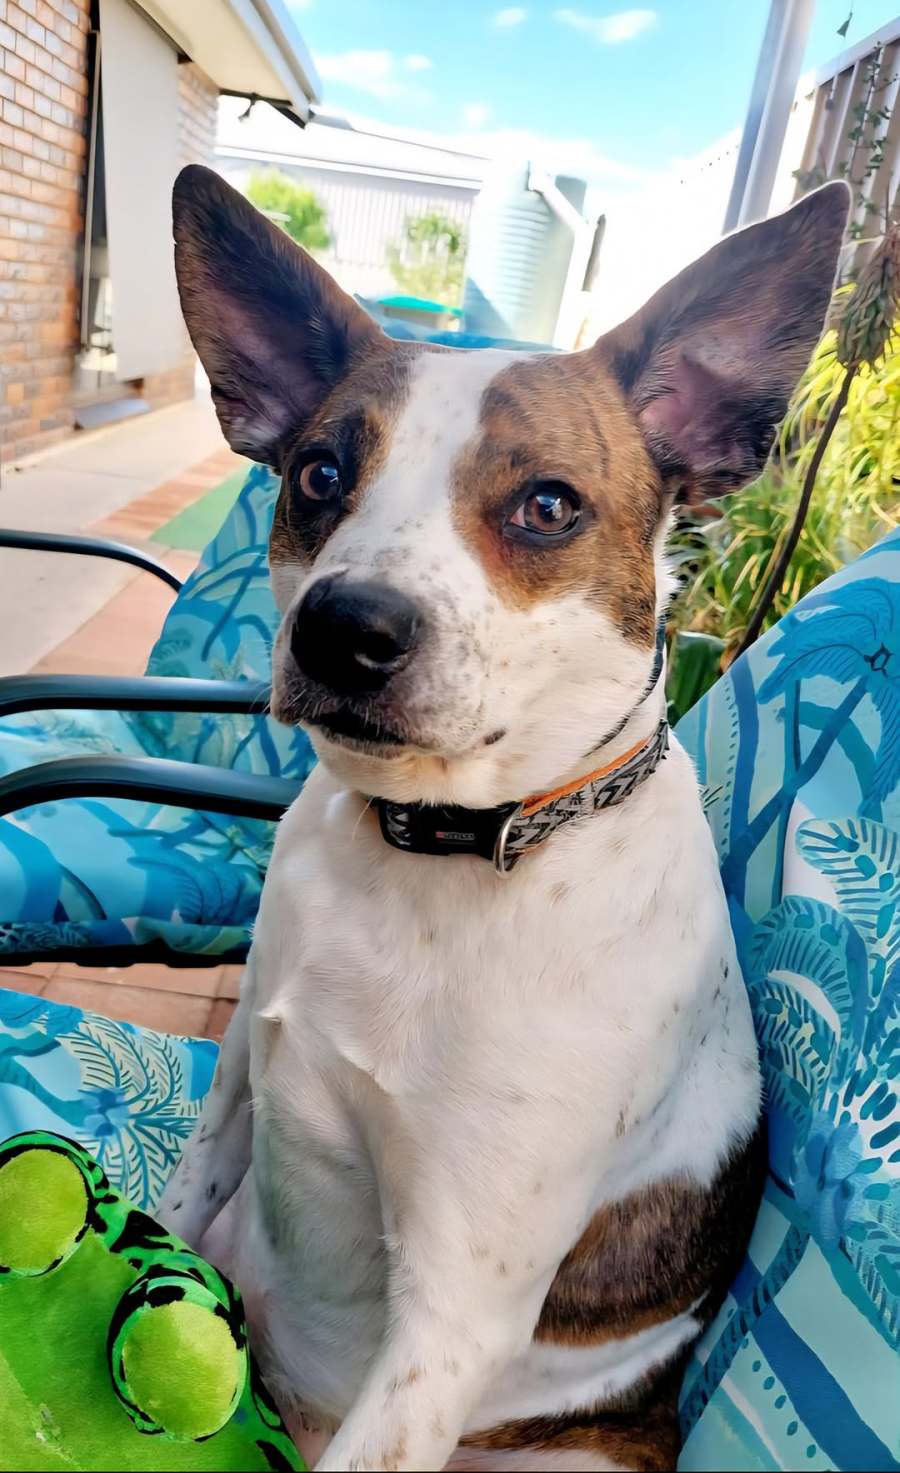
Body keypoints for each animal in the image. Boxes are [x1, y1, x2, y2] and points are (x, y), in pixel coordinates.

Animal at [158, 166, 849, 1471]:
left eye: (547, 505)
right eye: (319, 475)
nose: (344, 630)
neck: (433, 856)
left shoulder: (453, 1319)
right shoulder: (232, 1097)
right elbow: (158, 1217)